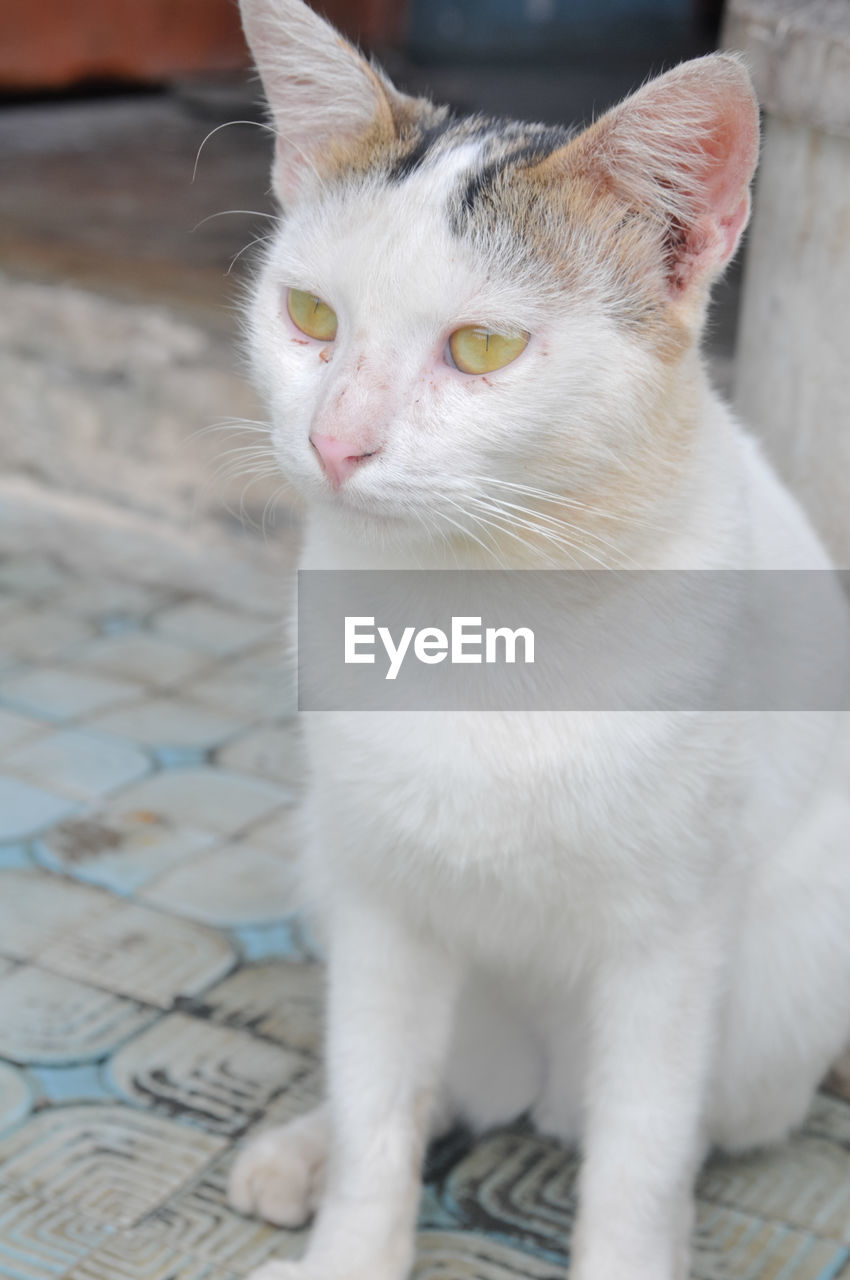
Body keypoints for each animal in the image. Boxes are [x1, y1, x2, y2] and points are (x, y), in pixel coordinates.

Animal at [224, 2, 850, 1280]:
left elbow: (638, 1163)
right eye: (310, 318)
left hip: (776, 1001)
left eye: (482, 350)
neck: (485, 609)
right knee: (431, 1085)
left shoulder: (671, 944)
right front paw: (350, 1236)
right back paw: (305, 1151)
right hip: (333, 852)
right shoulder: (382, 898)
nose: (336, 442)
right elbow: (378, 1103)